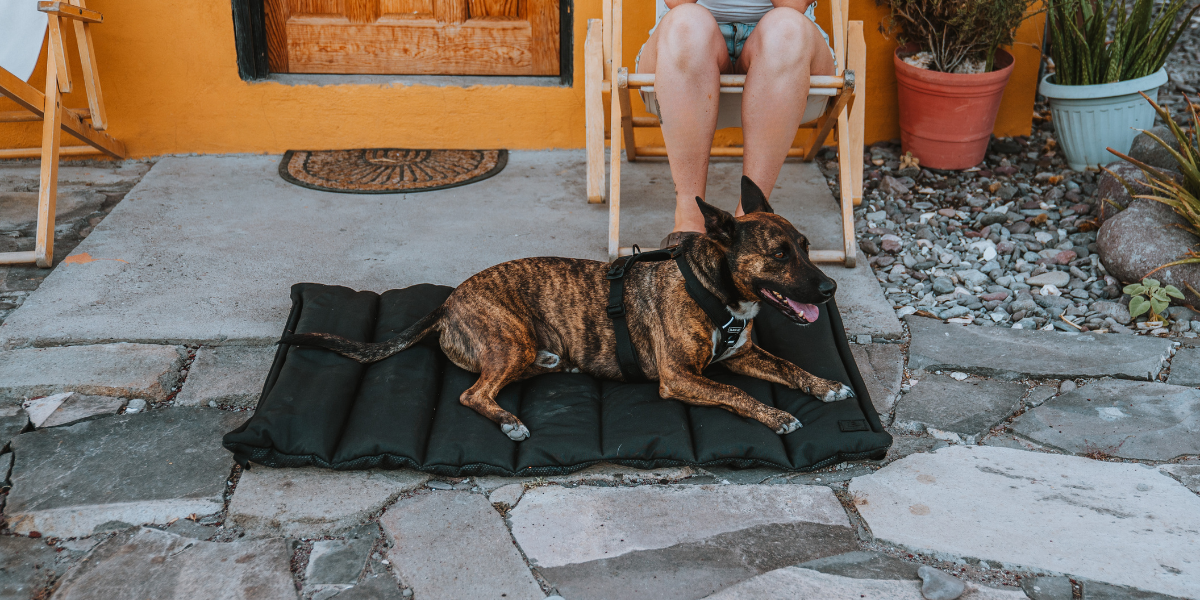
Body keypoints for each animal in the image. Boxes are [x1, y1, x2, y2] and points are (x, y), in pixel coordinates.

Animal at [284, 177, 854, 441]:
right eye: (779, 255)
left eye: (806, 247)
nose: (829, 289)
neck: (714, 291)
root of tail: (447, 304)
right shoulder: (682, 378)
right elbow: (736, 394)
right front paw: (778, 416)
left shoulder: (741, 356)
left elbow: (790, 367)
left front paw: (826, 386)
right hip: (509, 338)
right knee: (473, 394)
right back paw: (509, 421)